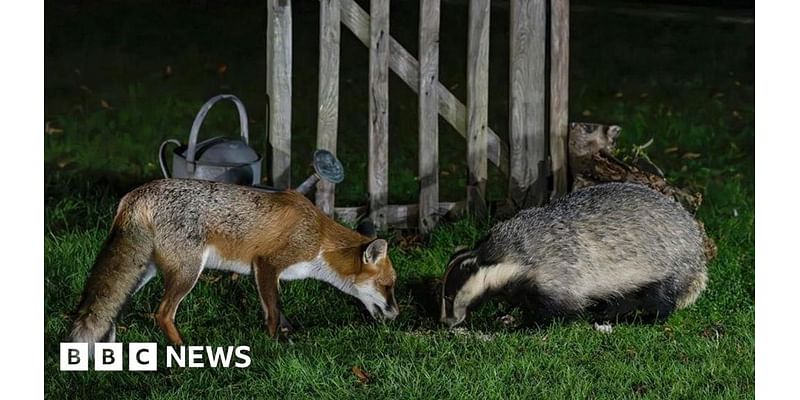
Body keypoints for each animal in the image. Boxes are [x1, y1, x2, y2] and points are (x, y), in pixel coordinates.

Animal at [69, 178, 400, 350]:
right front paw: (274, 348)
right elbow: (273, 313)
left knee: (111, 308)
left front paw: (287, 334)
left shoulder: (263, 273)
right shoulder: (267, 264)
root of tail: (135, 194)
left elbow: (279, 312)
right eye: (388, 286)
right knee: (162, 314)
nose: (397, 314)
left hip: (146, 272)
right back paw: (183, 349)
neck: (317, 236)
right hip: (188, 272)